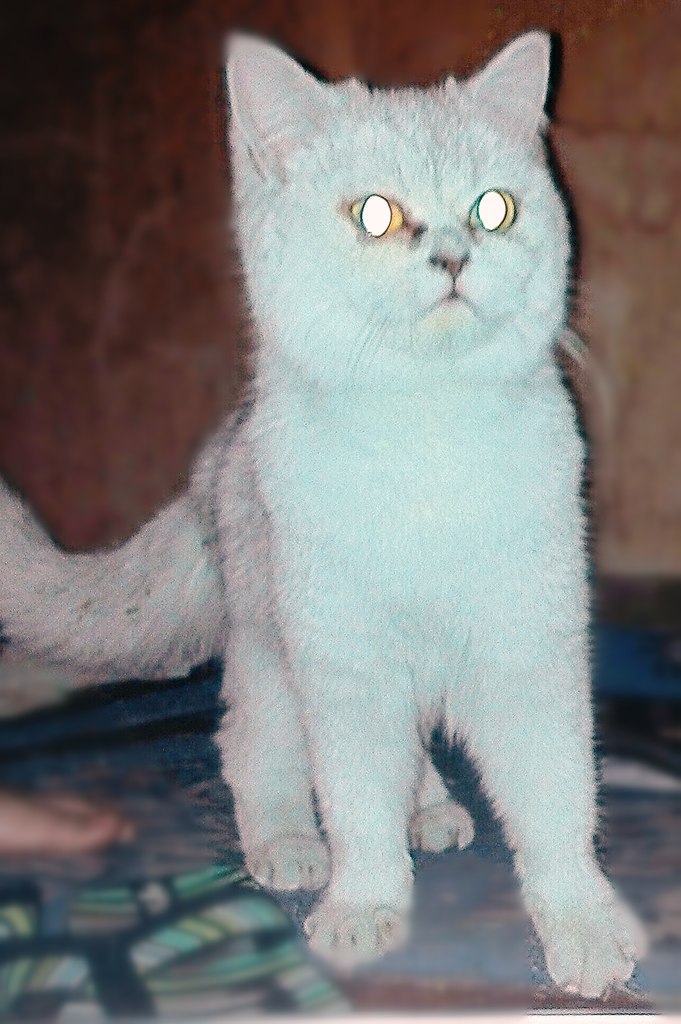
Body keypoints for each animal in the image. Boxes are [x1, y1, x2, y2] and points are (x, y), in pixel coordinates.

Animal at [0, 31, 646, 996]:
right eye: (373, 215)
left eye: (493, 210)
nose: (453, 256)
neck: (429, 438)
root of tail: (216, 455)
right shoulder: (345, 664)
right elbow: (355, 803)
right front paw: (364, 907)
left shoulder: (528, 648)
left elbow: (556, 798)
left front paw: (582, 926)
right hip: (272, 649)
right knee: (250, 749)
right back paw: (289, 847)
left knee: (407, 764)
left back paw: (433, 811)